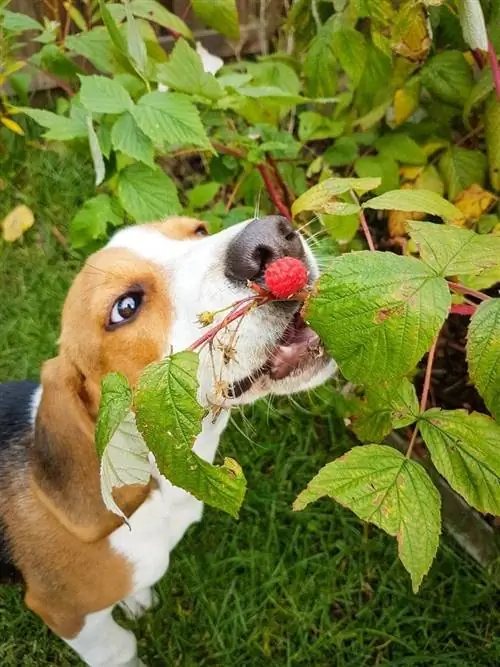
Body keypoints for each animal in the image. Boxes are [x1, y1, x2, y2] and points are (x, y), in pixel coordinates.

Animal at [0, 217, 336, 664]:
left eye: (198, 230)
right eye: (125, 308)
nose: (270, 238)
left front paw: (135, 597)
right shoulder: (68, 614)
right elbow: (119, 648)